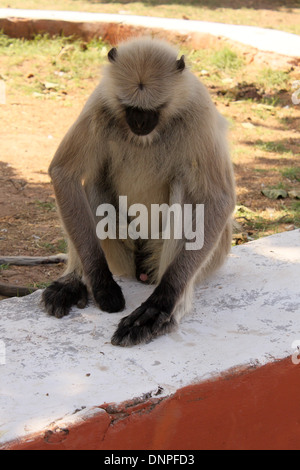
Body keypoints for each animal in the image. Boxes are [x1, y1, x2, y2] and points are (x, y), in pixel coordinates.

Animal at [42, 37, 236, 346]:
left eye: (154, 109)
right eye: (129, 107)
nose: (140, 123)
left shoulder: (199, 109)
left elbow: (219, 199)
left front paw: (161, 303)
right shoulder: (101, 100)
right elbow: (64, 174)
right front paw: (100, 282)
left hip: (204, 257)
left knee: (185, 188)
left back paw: (171, 310)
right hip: (120, 248)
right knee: (93, 178)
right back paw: (75, 280)